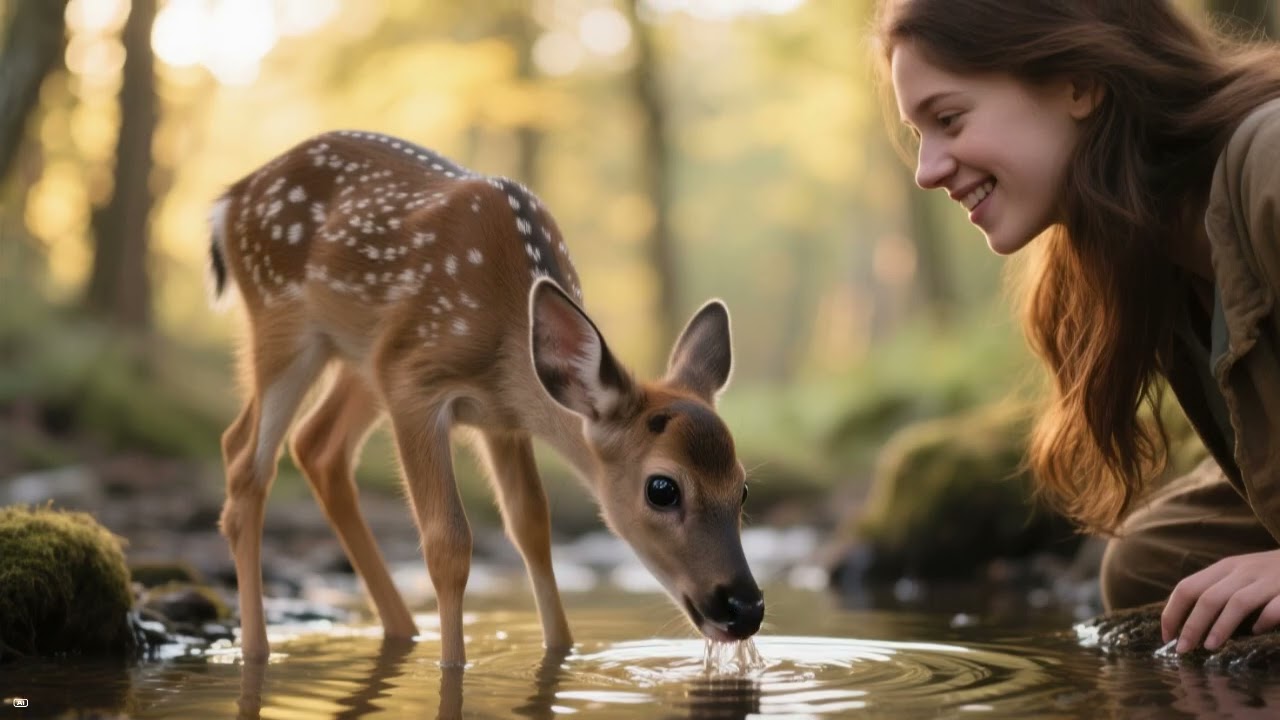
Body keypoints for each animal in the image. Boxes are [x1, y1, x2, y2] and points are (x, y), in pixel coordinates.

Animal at [207, 130, 764, 665]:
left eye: (742, 488)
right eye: (662, 488)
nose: (744, 607)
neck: (508, 335)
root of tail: (230, 198)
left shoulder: (501, 418)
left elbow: (532, 527)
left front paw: (560, 652)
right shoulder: (415, 383)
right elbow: (448, 543)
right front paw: (453, 668)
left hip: (364, 357)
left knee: (316, 445)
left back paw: (403, 633)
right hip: (285, 324)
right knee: (245, 459)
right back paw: (255, 650)